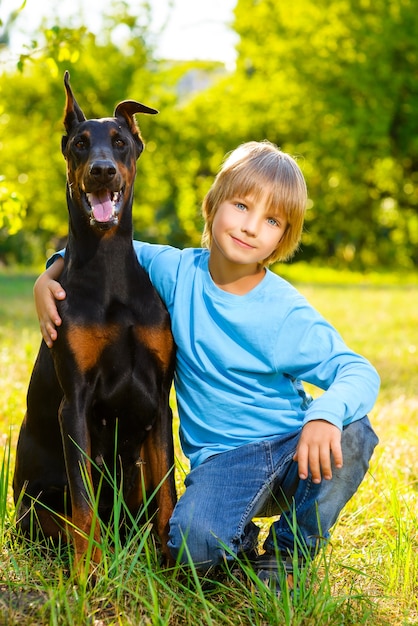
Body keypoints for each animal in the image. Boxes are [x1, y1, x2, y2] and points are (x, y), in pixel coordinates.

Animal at [13, 72, 176, 572]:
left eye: (120, 141)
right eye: (80, 144)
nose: (102, 170)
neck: (110, 276)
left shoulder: (159, 402)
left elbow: (170, 497)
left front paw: (177, 572)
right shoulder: (76, 404)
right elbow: (83, 507)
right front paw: (89, 577)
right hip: (34, 507)